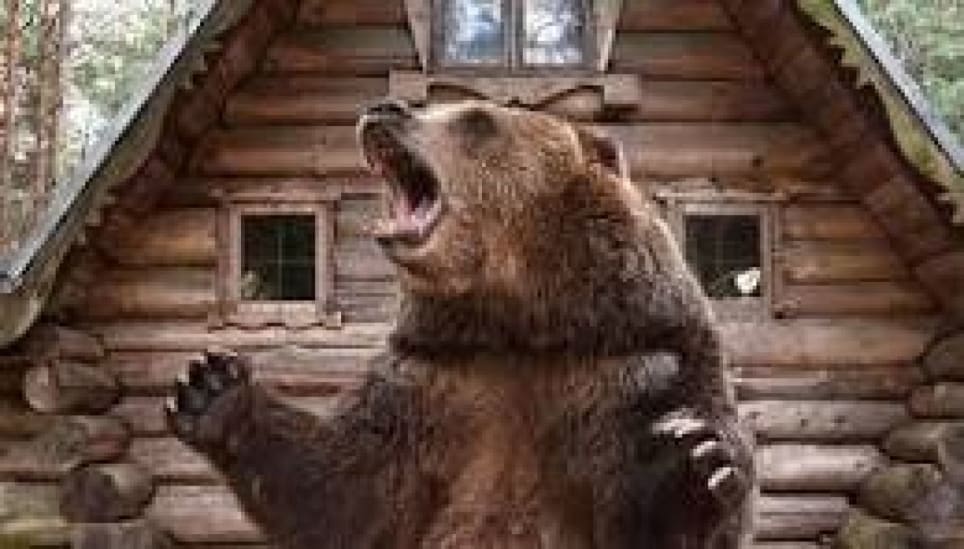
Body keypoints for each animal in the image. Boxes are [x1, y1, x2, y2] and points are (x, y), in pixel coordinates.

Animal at [165, 99, 754, 549]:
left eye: (476, 118)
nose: (385, 110)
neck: (517, 321)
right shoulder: (429, 380)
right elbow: (345, 491)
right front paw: (211, 387)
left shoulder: (645, 363)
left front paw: (690, 463)